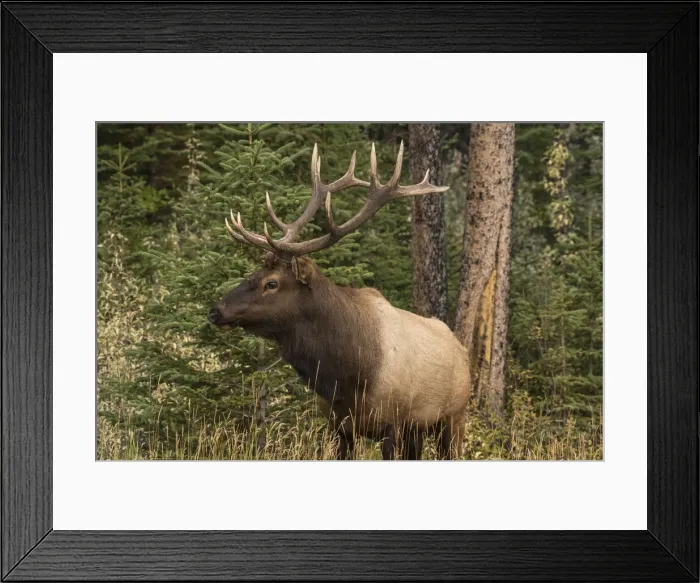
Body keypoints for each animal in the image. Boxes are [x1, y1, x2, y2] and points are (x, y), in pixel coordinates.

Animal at [208, 142, 470, 460]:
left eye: (271, 283)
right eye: (254, 273)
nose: (216, 310)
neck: (344, 376)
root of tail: (461, 349)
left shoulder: (393, 423)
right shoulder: (338, 426)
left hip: (453, 418)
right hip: (418, 432)